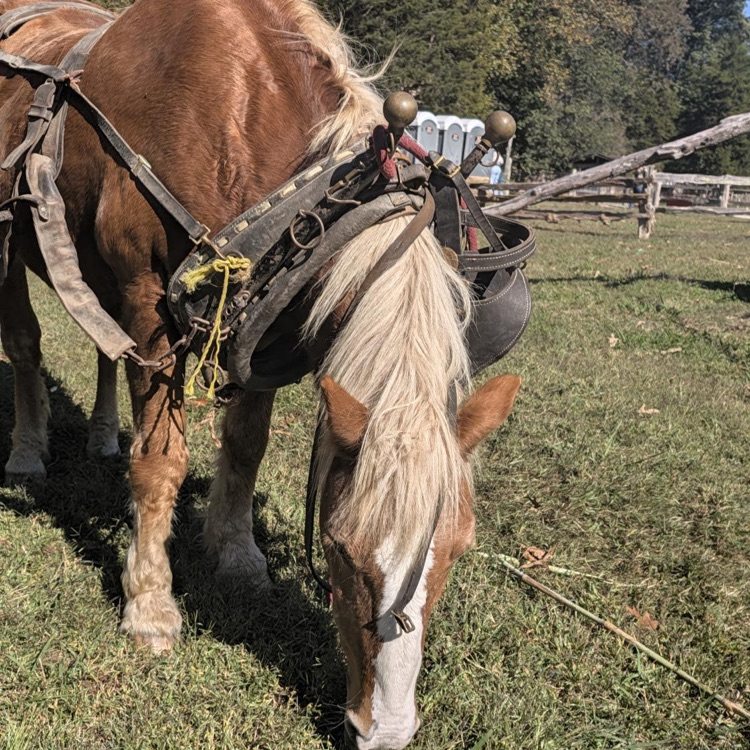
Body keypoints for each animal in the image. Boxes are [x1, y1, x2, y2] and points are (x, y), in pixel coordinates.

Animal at [0, 1, 522, 747]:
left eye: (460, 547)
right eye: (339, 549)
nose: (385, 730)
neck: (234, 106)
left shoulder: (266, 320)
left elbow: (246, 444)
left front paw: (239, 555)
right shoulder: (145, 298)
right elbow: (160, 460)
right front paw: (151, 605)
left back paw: (101, 436)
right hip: (15, 240)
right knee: (25, 342)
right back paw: (27, 450)